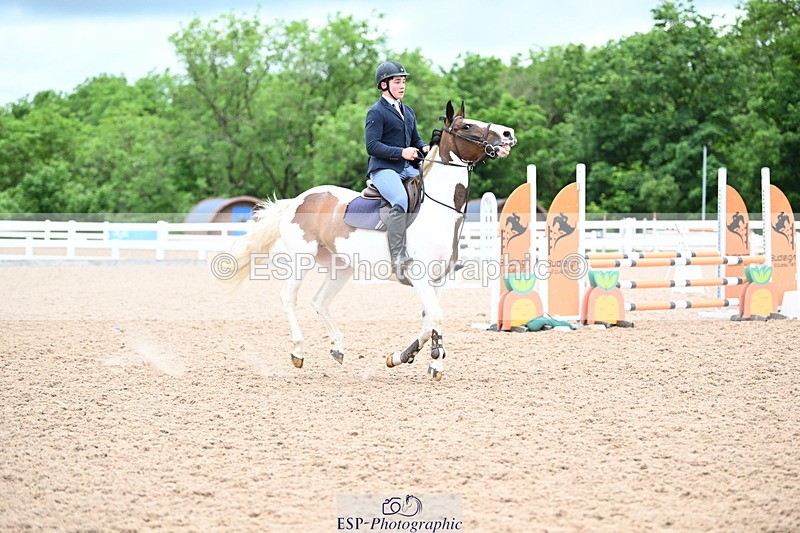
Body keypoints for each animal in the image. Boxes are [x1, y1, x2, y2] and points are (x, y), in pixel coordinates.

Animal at [227, 101, 516, 381]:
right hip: (302, 260)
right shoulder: (420, 276)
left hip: (341, 268)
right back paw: (298, 351)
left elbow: (428, 322)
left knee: (320, 301)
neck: (437, 210)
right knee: (289, 296)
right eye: (466, 126)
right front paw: (435, 364)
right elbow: (435, 317)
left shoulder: (438, 280)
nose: (508, 133)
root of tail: (297, 200)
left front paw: (401, 357)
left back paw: (337, 348)